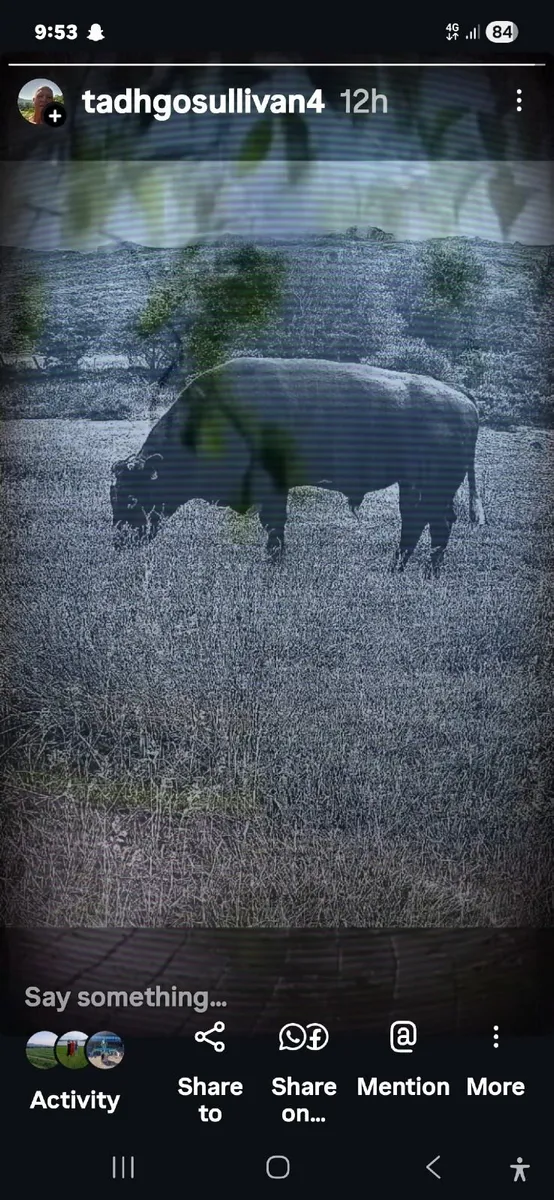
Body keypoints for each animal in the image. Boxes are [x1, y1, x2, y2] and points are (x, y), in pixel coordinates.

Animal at [110, 357, 485, 575]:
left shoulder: (272, 487)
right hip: (415, 485)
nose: (120, 542)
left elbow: (274, 524)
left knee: (431, 521)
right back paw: (406, 568)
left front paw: (273, 561)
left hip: (430, 484)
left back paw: (417, 569)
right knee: (422, 521)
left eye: (132, 496)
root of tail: (462, 399)